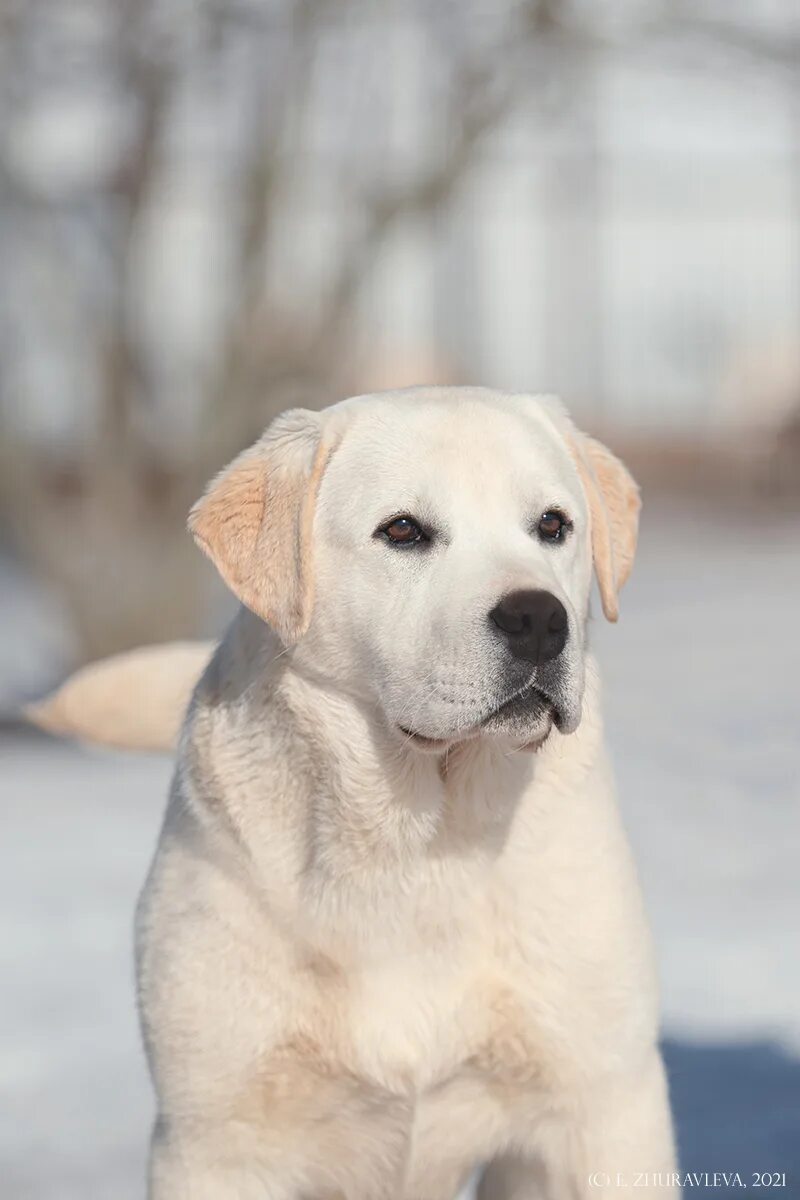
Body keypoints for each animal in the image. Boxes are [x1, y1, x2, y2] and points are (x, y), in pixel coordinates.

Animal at [35, 388, 676, 1195]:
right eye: (403, 530)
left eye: (552, 525)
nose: (538, 619)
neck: (414, 849)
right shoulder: (214, 1139)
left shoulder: (602, 1109)